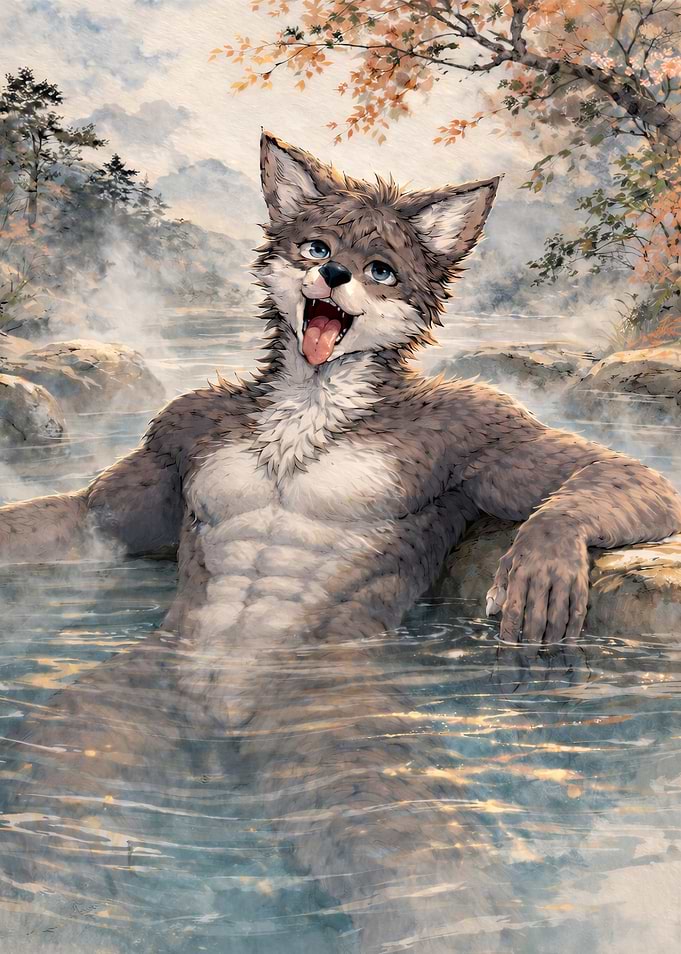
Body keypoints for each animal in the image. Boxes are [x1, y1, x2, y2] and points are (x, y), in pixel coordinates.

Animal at [1, 134, 681, 952]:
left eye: (380, 268)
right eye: (316, 247)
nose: (332, 275)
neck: (311, 407)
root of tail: (220, 727)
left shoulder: (481, 425)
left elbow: (604, 470)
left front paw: (545, 553)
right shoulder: (179, 429)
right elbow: (93, 517)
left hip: (339, 737)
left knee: (419, 870)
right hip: (129, 700)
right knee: (53, 807)